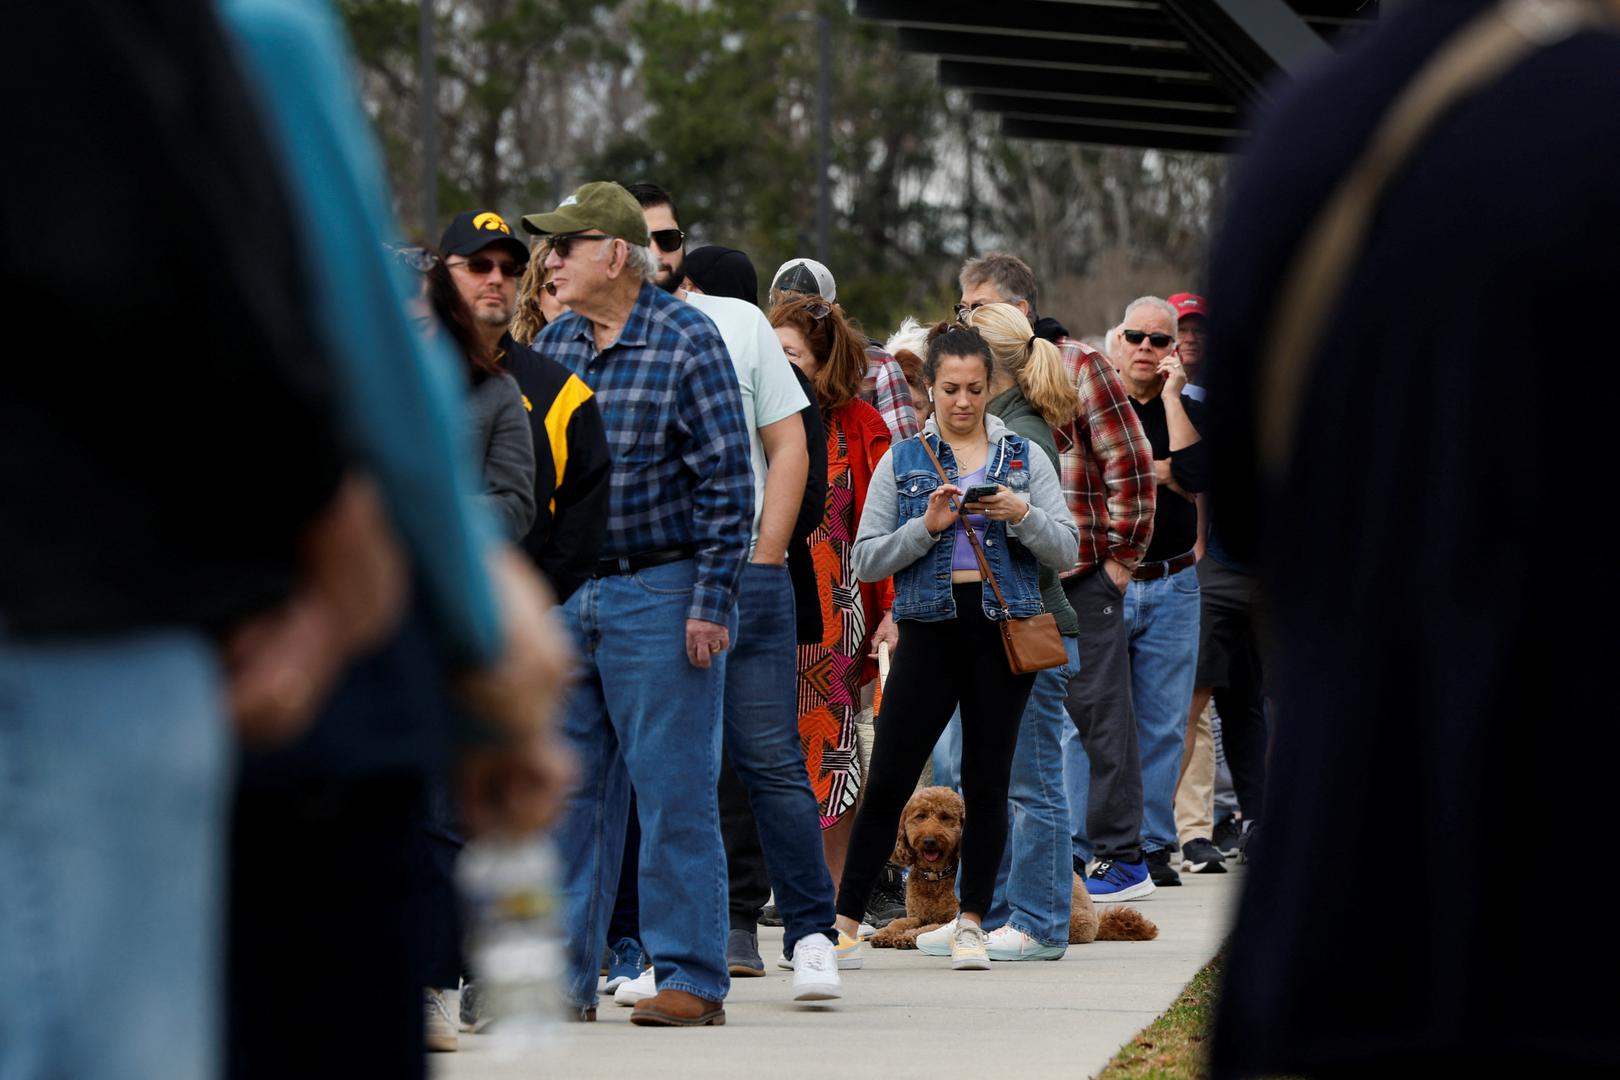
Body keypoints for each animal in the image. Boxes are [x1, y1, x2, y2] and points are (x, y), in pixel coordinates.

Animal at [868, 790, 1159, 952]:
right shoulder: (916, 913)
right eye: (919, 816)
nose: (929, 840)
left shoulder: (952, 915)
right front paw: (885, 933)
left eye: (945, 818)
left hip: (1075, 923)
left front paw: (908, 938)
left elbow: (929, 927)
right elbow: (900, 921)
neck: (937, 876)